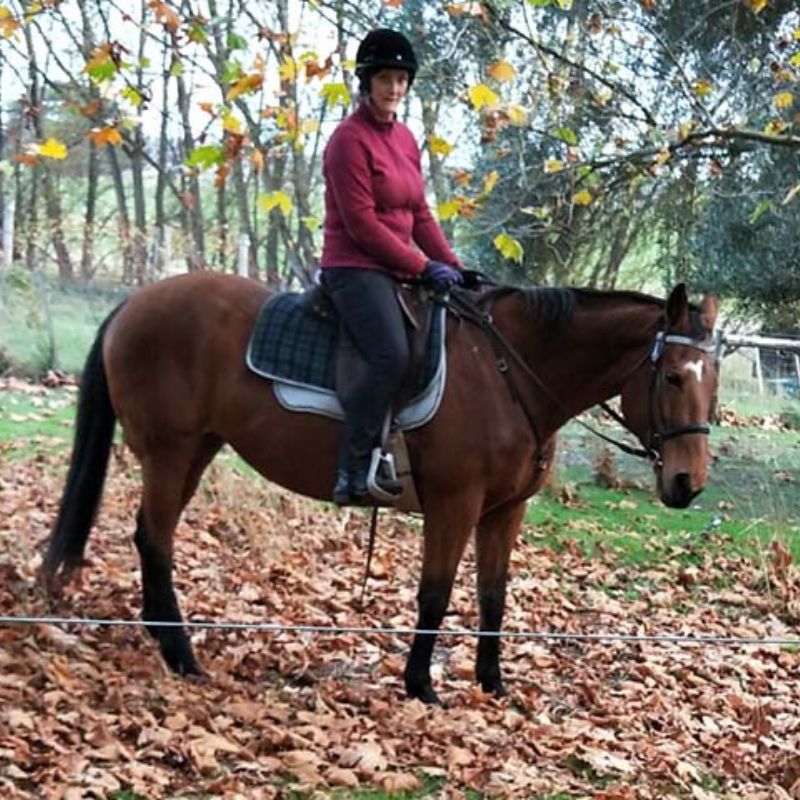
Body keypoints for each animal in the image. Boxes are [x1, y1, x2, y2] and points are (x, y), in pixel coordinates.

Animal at [41, 273, 719, 705]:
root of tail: (136, 303)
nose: (687, 484)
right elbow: (435, 596)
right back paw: (182, 656)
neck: (505, 373)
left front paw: (492, 684)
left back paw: (167, 642)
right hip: (170, 452)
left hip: (193, 452)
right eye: (674, 376)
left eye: (713, 377)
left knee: (150, 537)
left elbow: (493, 598)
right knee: (155, 542)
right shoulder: (455, 504)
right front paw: (421, 686)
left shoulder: (504, 512)